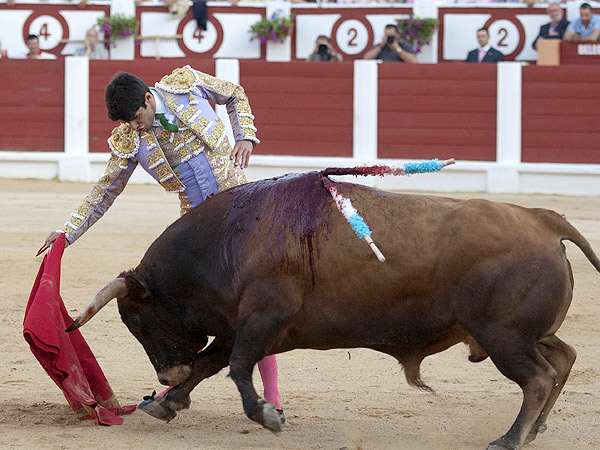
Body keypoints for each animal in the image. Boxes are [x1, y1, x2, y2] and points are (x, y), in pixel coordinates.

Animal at [67, 171, 600, 450]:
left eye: (138, 319)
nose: (165, 374)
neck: (226, 241)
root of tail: (542, 219)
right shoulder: (245, 325)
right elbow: (211, 363)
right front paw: (166, 403)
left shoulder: (263, 318)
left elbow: (235, 366)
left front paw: (267, 416)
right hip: (521, 333)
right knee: (563, 358)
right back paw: (535, 430)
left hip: (502, 335)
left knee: (537, 377)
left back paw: (509, 439)